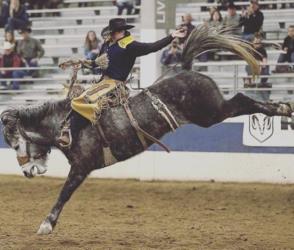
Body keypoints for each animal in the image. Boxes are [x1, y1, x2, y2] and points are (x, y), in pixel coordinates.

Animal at [1, 25, 292, 234]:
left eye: (15, 144)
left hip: (212, 113)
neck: (68, 124)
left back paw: (281, 108)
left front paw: (46, 225)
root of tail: (184, 69)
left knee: (242, 100)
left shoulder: (81, 167)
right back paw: (282, 107)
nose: (27, 172)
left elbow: (64, 193)